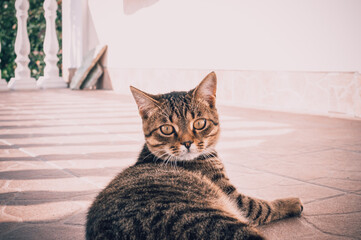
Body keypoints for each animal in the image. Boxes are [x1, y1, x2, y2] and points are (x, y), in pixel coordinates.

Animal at [86, 72, 302, 239]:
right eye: (166, 129)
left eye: (199, 123)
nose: (187, 143)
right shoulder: (234, 198)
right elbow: (263, 206)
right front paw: (292, 202)